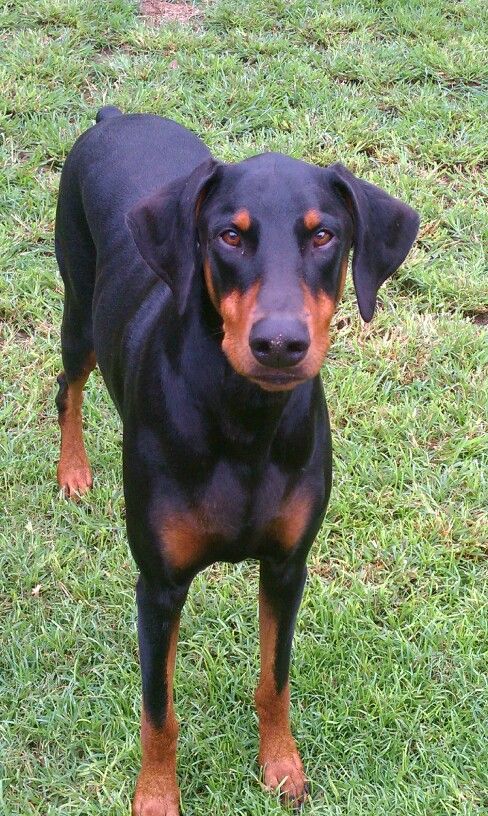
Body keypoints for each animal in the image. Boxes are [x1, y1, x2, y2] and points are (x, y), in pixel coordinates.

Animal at [54, 105, 420, 812]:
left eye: (324, 235)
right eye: (229, 235)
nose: (279, 343)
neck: (245, 422)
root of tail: (116, 115)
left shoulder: (286, 567)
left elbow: (274, 680)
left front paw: (281, 766)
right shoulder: (160, 584)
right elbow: (159, 710)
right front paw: (156, 797)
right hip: (79, 307)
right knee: (68, 385)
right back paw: (74, 470)